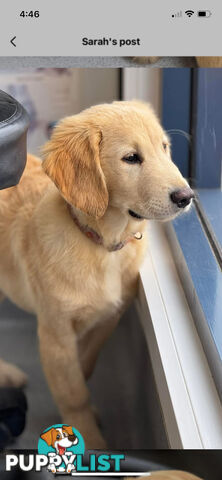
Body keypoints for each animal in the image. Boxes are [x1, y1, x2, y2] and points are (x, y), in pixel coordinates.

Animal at [0, 100, 193, 446]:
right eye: (131, 158)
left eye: (164, 148)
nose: (187, 198)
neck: (102, 244)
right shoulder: (55, 334)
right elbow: (73, 392)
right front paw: (88, 438)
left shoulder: (109, 316)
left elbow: (85, 365)